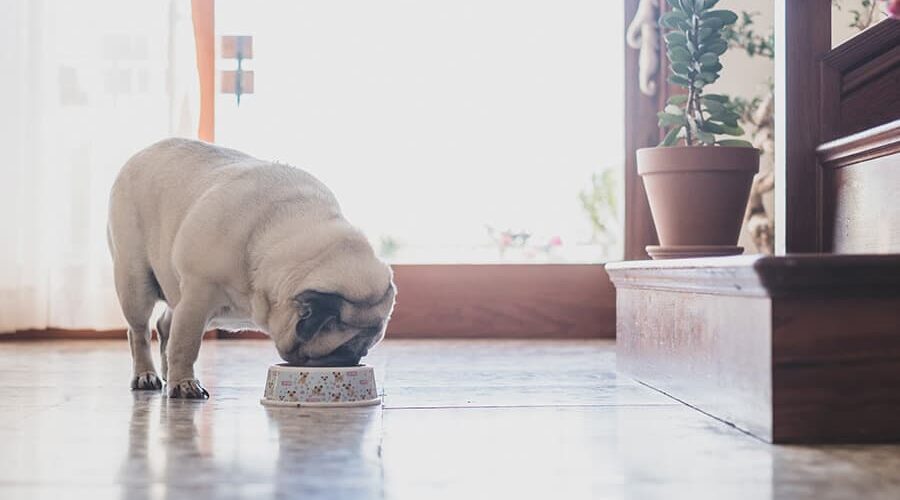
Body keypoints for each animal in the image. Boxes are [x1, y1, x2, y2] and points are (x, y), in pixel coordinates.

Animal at [107, 138, 396, 398]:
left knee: (165, 325)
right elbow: (185, 344)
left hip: (176, 292)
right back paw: (146, 375)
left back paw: (167, 372)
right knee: (139, 332)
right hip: (136, 283)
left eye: (364, 350)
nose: (354, 359)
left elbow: (177, 338)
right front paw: (185, 384)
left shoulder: (192, 302)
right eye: (339, 350)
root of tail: (143, 153)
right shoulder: (197, 298)